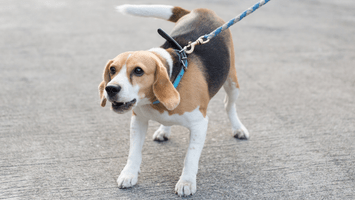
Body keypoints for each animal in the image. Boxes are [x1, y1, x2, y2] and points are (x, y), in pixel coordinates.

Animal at [98, 4, 250, 197]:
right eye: (112, 69)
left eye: (138, 71)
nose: (111, 88)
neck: (173, 76)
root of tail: (202, 10)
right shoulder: (138, 120)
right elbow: (134, 152)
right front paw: (129, 174)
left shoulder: (200, 124)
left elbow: (190, 157)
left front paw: (186, 182)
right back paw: (164, 130)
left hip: (232, 83)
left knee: (229, 106)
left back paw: (238, 129)